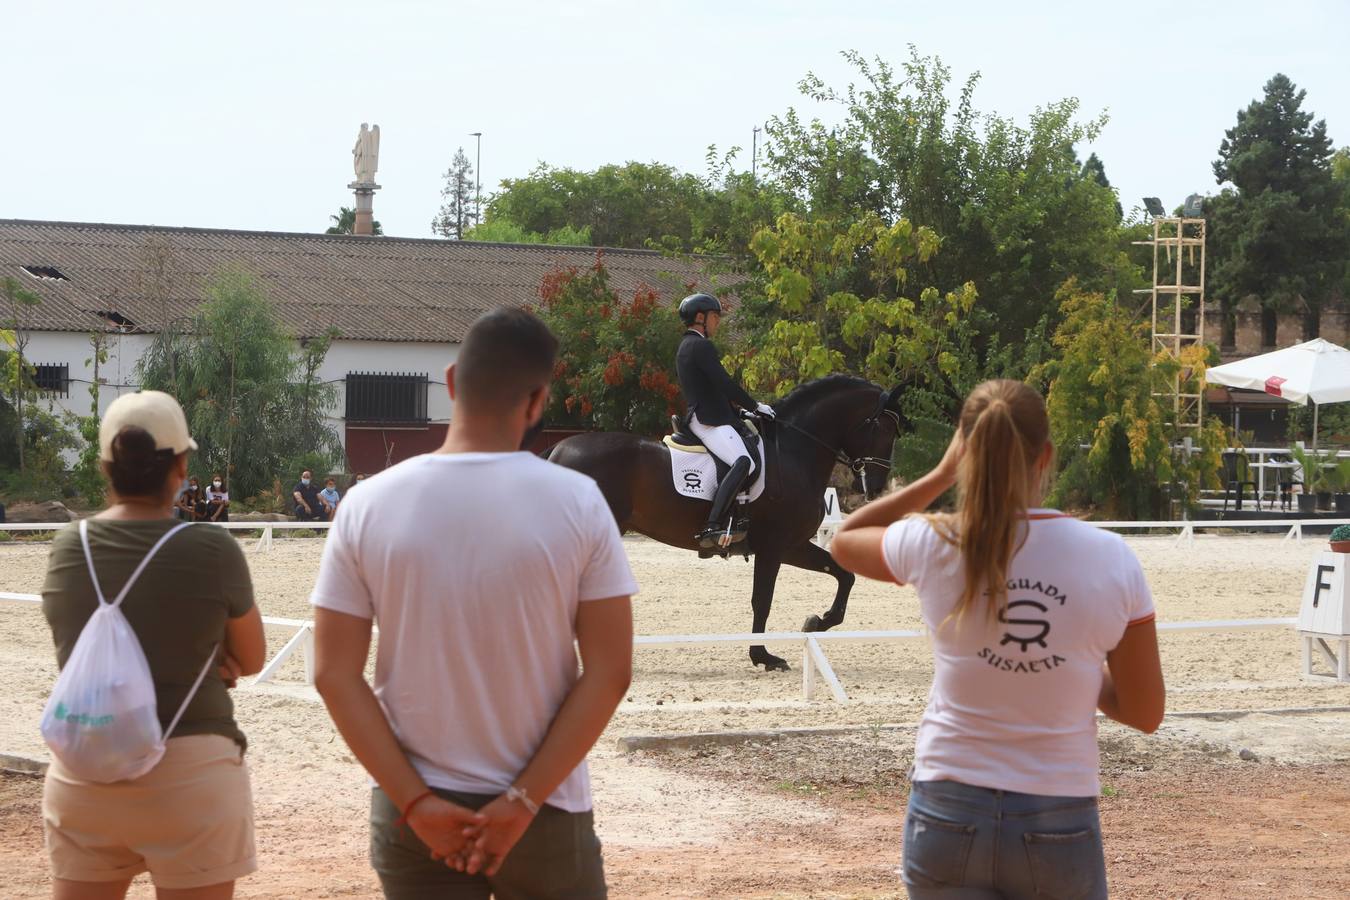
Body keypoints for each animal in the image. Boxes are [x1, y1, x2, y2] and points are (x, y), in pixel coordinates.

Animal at [542, 377, 901, 671]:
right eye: (884, 429)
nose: (876, 486)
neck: (794, 453)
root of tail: (559, 449)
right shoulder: (774, 548)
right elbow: (762, 600)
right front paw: (763, 656)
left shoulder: (793, 546)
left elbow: (845, 574)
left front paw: (816, 622)